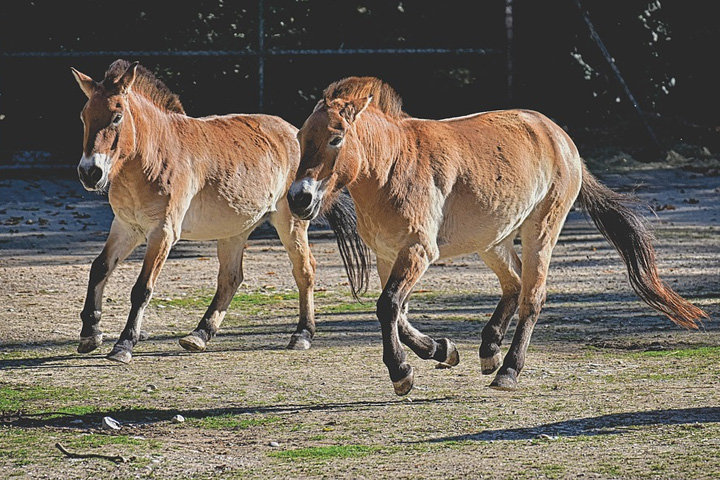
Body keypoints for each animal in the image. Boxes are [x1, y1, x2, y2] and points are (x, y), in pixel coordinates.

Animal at [71, 59, 318, 360]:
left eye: (117, 116)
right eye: (84, 116)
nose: (90, 173)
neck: (152, 156)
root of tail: (294, 133)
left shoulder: (162, 232)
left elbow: (142, 288)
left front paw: (124, 344)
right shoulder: (127, 227)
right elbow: (100, 268)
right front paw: (90, 333)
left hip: (290, 222)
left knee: (304, 270)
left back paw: (302, 334)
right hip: (235, 229)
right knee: (231, 278)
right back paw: (199, 334)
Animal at [286, 77, 708, 396]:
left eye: (337, 137)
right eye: (301, 136)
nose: (298, 198)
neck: (392, 167)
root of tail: (560, 138)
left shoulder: (418, 251)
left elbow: (388, 307)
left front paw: (401, 373)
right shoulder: (389, 255)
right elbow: (397, 312)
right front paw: (442, 350)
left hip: (540, 230)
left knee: (532, 295)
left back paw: (508, 370)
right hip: (493, 240)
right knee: (514, 283)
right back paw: (489, 349)